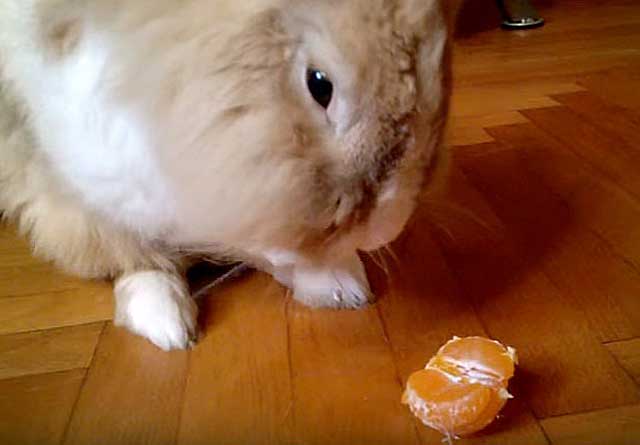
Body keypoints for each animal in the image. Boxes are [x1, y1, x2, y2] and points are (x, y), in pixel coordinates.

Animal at [0, 0, 450, 350]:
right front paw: (166, 321)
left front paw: (339, 285)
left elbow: (269, 243)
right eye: (319, 84)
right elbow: (133, 251)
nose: (386, 226)